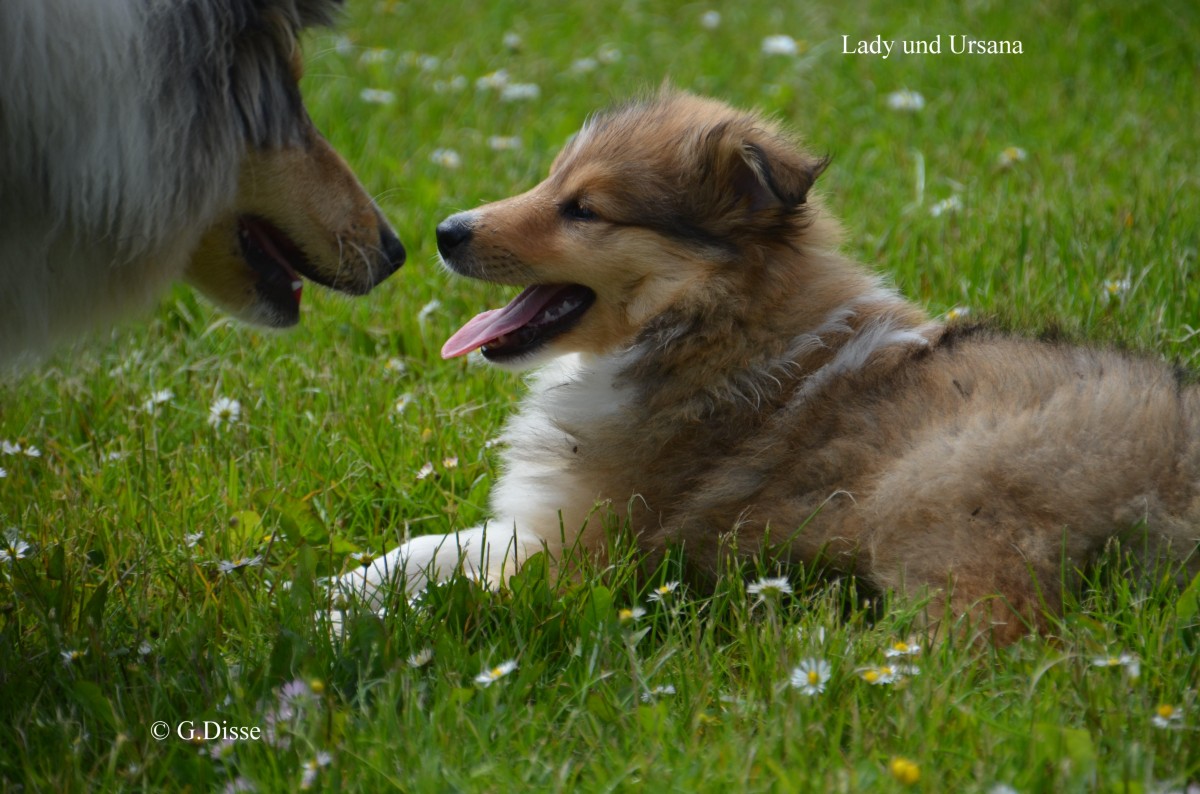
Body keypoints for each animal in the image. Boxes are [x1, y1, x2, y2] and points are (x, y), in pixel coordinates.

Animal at [341, 91, 1200, 642]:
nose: (444, 232)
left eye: (584, 208)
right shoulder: (534, 521)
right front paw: (336, 587)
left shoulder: (580, 551)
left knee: (988, 639)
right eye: (551, 180)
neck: (708, 323)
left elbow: (460, 583)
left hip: (941, 496)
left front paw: (341, 623)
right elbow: (428, 549)